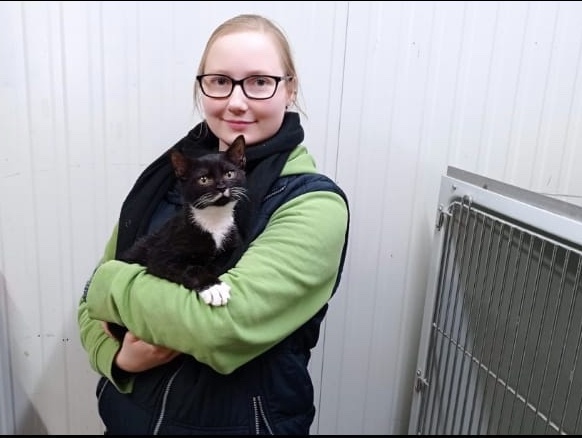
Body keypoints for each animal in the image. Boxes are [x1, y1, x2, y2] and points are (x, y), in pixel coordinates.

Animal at [107, 134, 247, 342]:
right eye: (204, 179)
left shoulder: (232, 242)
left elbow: (224, 258)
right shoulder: (161, 255)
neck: (213, 221)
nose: (222, 187)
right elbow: (192, 267)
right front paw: (214, 287)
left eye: (230, 174)